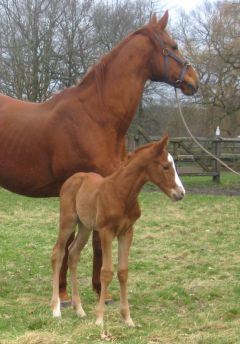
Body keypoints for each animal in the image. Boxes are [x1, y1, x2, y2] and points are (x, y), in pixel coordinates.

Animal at [51, 136, 186, 326]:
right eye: (166, 167)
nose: (181, 193)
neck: (121, 193)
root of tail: (73, 178)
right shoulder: (106, 231)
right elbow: (106, 271)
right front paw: (99, 318)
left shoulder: (127, 232)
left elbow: (123, 272)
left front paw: (127, 318)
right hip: (68, 221)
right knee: (58, 253)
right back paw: (56, 309)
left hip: (85, 226)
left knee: (73, 253)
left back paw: (79, 309)